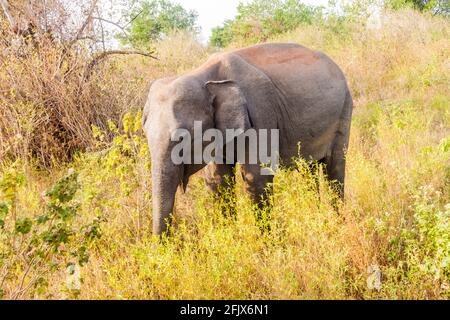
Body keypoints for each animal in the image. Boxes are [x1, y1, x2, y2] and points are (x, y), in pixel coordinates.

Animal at [142, 43, 354, 235]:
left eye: (183, 138)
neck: (205, 77)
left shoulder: (260, 113)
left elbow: (256, 177)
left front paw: (267, 244)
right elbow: (218, 180)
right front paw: (230, 237)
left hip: (345, 109)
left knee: (334, 167)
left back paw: (338, 222)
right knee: (309, 171)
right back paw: (317, 216)